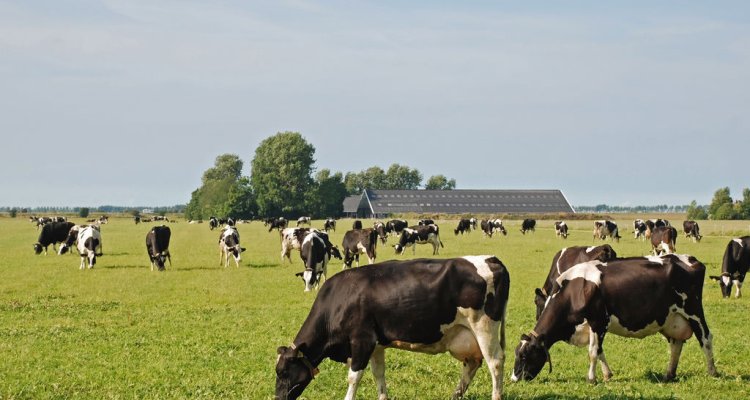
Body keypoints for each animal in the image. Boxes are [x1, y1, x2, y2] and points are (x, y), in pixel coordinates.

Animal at [274, 256, 512, 400]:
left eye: (284, 372)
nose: (277, 398)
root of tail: (492, 259)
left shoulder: (362, 340)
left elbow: (353, 377)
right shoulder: (377, 344)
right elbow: (378, 375)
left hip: (484, 328)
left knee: (495, 363)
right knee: (472, 364)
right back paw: (455, 395)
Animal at [516, 255, 720, 382]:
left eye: (525, 355)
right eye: (517, 354)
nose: (514, 378)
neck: (575, 290)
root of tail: (691, 260)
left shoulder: (598, 321)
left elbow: (593, 352)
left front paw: (591, 379)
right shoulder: (593, 326)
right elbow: (599, 350)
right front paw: (607, 375)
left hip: (694, 311)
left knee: (706, 339)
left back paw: (713, 372)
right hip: (671, 318)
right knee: (676, 345)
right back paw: (669, 375)